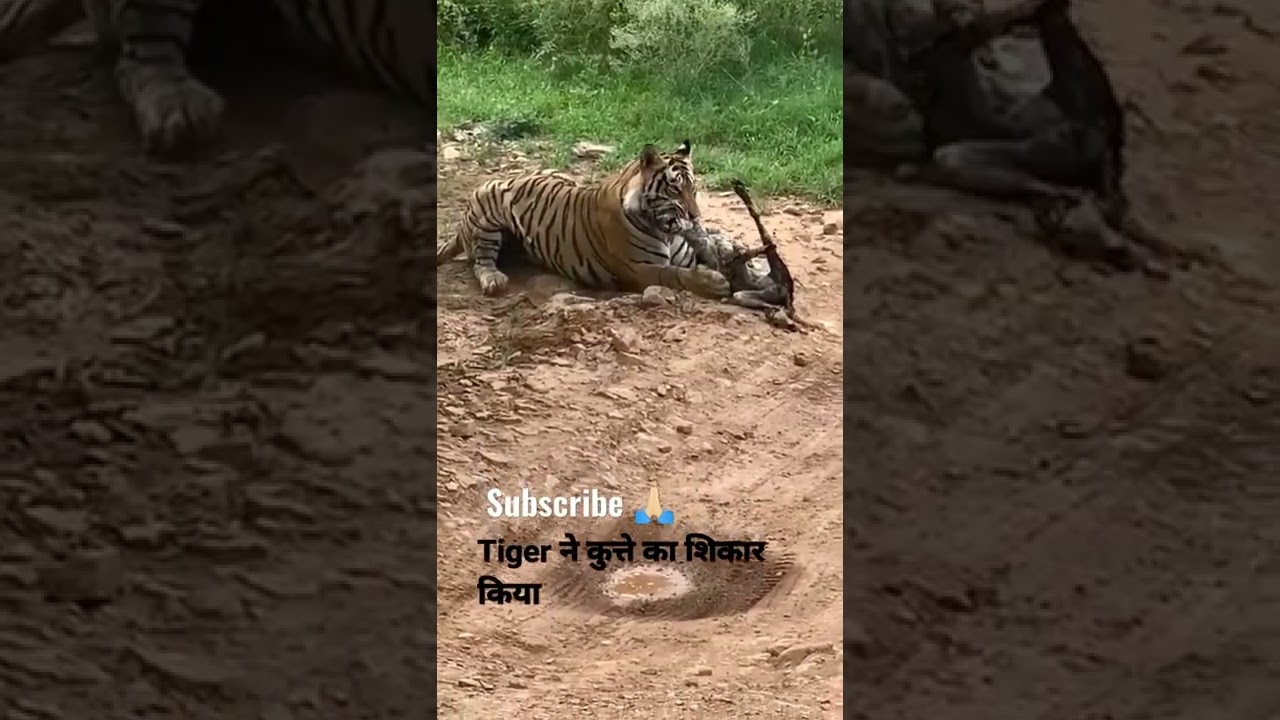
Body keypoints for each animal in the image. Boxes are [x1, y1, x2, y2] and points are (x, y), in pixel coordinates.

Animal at [436, 140, 731, 300]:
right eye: (674, 190)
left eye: (694, 189)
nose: (695, 216)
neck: (665, 228)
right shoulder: (641, 268)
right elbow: (675, 274)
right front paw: (712, 282)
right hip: (487, 213)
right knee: (481, 262)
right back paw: (494, 280)